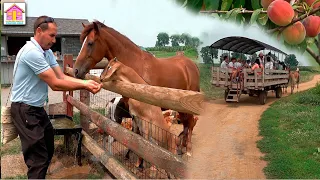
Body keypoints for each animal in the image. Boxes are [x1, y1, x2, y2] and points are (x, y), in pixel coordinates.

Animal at [74, 20, 200, 156]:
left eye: (90, 43)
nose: (76, 70)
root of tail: (192, 65)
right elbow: (135, 133)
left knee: (190, 124)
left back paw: (187, 150)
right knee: (186, 125)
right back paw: (181, 148)